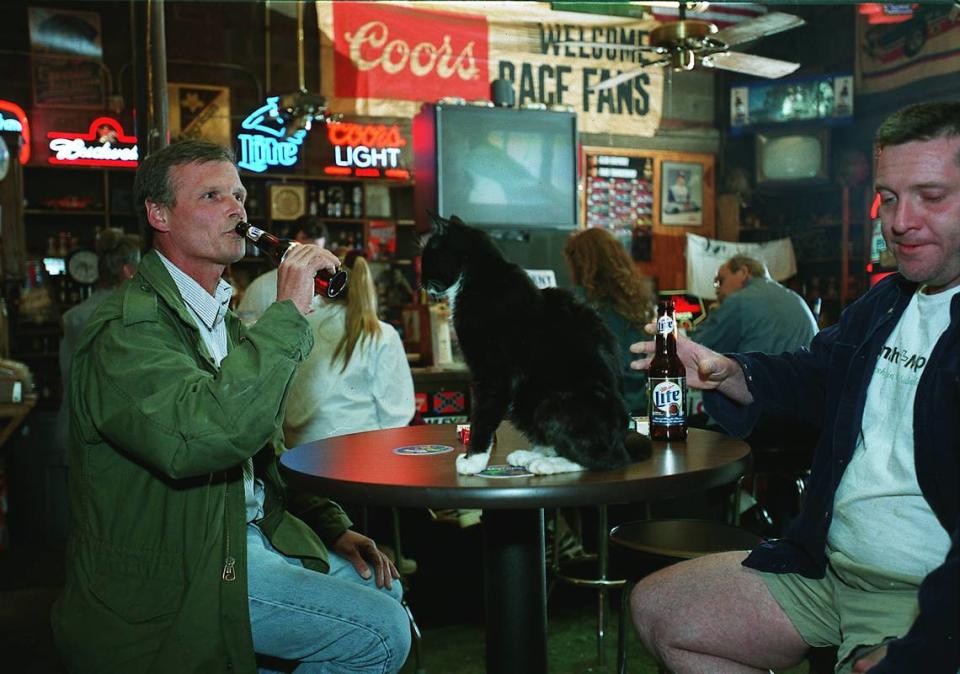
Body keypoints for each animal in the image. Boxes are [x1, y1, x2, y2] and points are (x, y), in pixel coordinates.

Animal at [422, 214, 652, 472]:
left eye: (426, 258)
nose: (420, 282)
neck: (480, 279)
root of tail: (623, 439)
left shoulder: (493, 373)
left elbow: (482, 418)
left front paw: (473, 461)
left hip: (551, 404)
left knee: (604, 460)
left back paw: (546, 464)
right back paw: (533, 455)